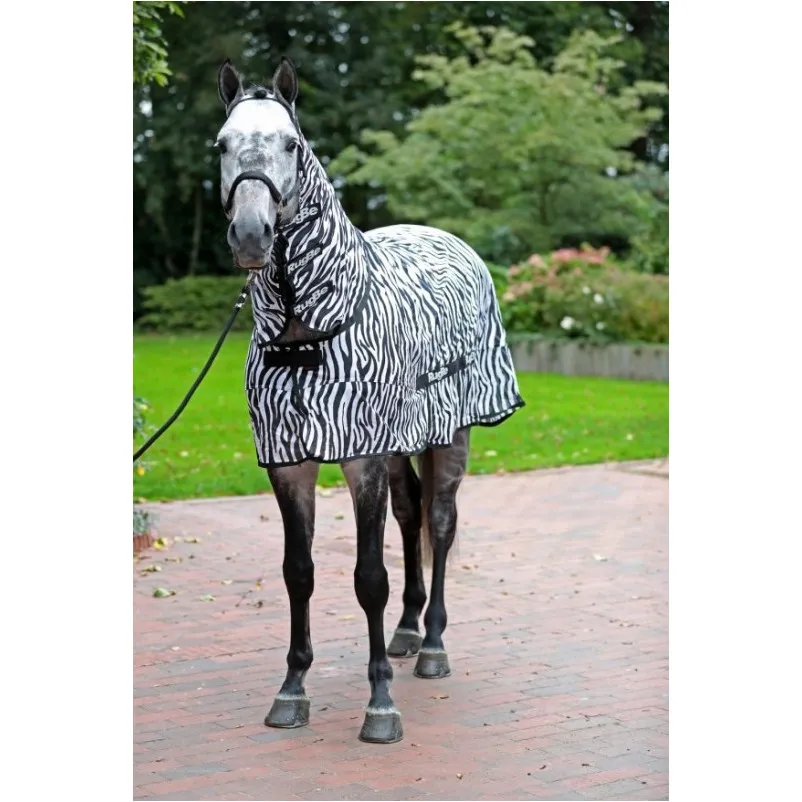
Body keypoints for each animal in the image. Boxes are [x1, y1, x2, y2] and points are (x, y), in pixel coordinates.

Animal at [215, 57, 524, 744]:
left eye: (291, 144)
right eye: (222, 145)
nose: (250, 234)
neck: (306, 334)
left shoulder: (361, 458)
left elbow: (368, 579)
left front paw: (380, 704)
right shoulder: (291, 462)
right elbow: (298, 572)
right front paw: (292, 689)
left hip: (449, 435)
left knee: (440, 521)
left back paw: (431, 644)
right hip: (400, 445)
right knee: (411, 516)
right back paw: (408, 631)